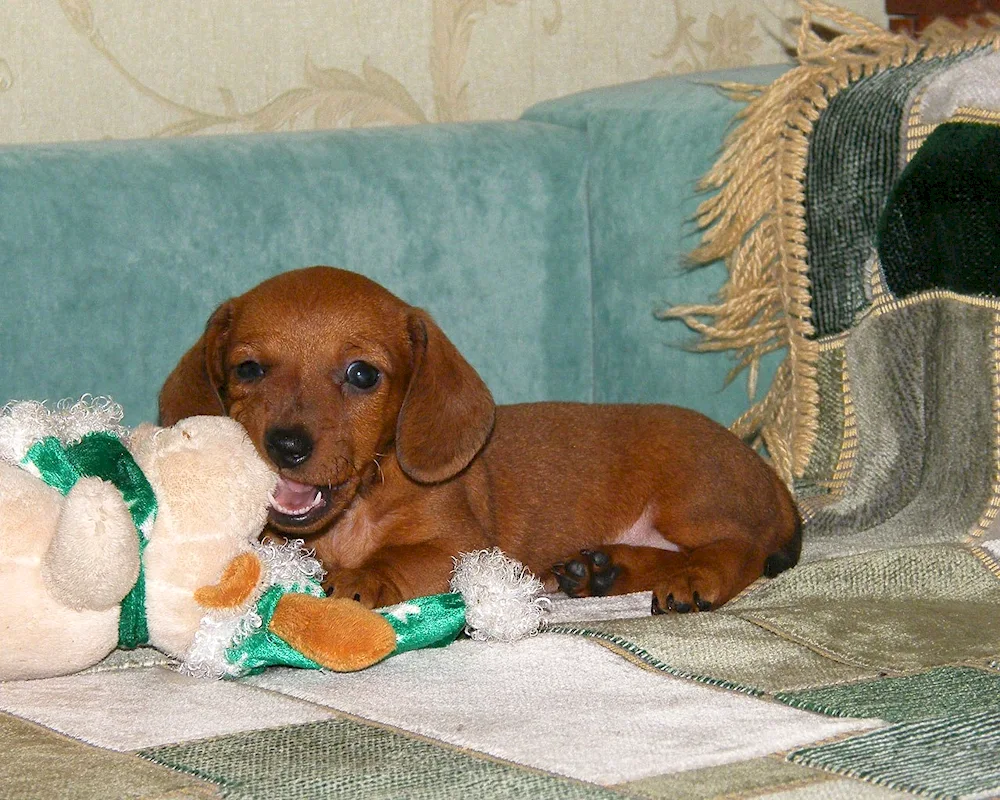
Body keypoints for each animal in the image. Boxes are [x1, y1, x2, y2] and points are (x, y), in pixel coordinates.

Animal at [160, 266, 800, 608]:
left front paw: (363, 577)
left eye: (362, 375)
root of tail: (768, 473)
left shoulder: (460, 546)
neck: (357, 510)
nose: (286, 446)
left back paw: (695, 579)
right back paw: (602, 571)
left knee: (739, 548)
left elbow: (400, 558)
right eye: (248, 369)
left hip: (689, 499)